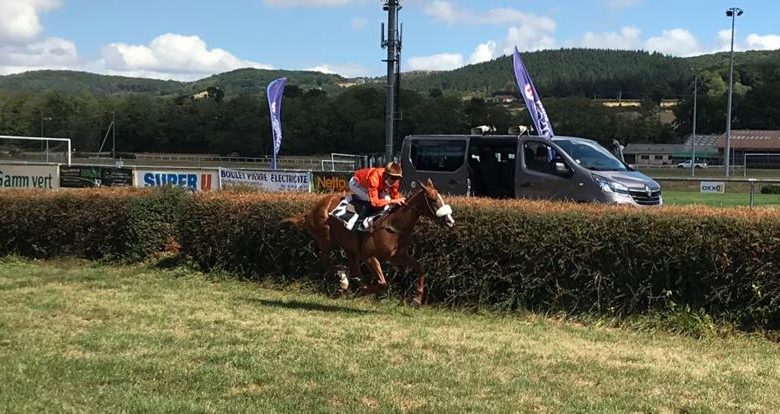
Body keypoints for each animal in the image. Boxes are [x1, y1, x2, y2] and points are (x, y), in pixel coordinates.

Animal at [282, 180, 454, 306]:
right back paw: (344, 280)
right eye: (433, 200)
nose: (450, 221)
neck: (394, 225)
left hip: (349, 247)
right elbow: (382, 283)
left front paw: (417, 299)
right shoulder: (369, 257)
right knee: (325, 261)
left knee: (352, 268)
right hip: (325, 238)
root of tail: (310, 211)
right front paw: (364, 290)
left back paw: (348, 280)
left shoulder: (398, 256)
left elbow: (421, 268)